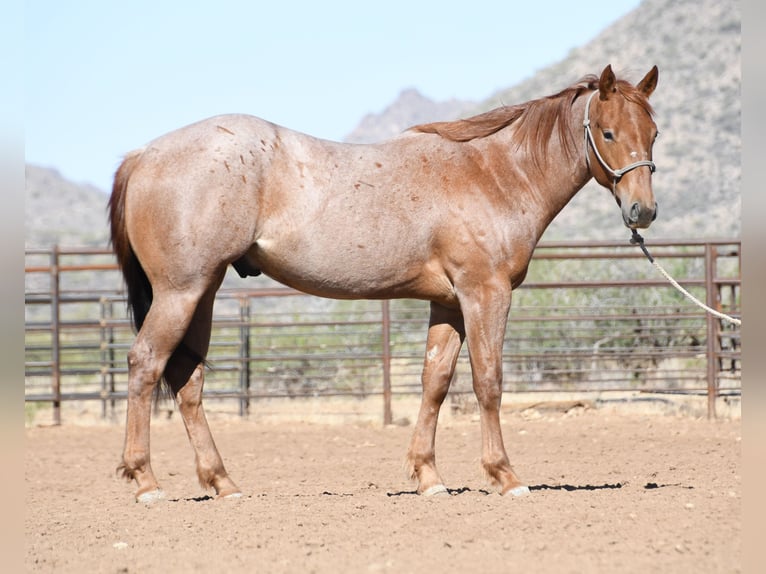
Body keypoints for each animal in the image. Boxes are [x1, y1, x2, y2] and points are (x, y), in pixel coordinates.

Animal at [109, 64, 659, 502]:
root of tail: (144, 154)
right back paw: (147, 483)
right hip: (181, 291)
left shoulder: (449, 304)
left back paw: (222, 482)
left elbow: (435, 383)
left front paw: (429, 477)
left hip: (202, 292)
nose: (643, 211)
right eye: (608, 133)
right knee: (145, 364)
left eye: (652, 133)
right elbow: (488, 382)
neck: (494, 173)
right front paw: (505, 476)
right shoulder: (485, 294)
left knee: (187, 379)